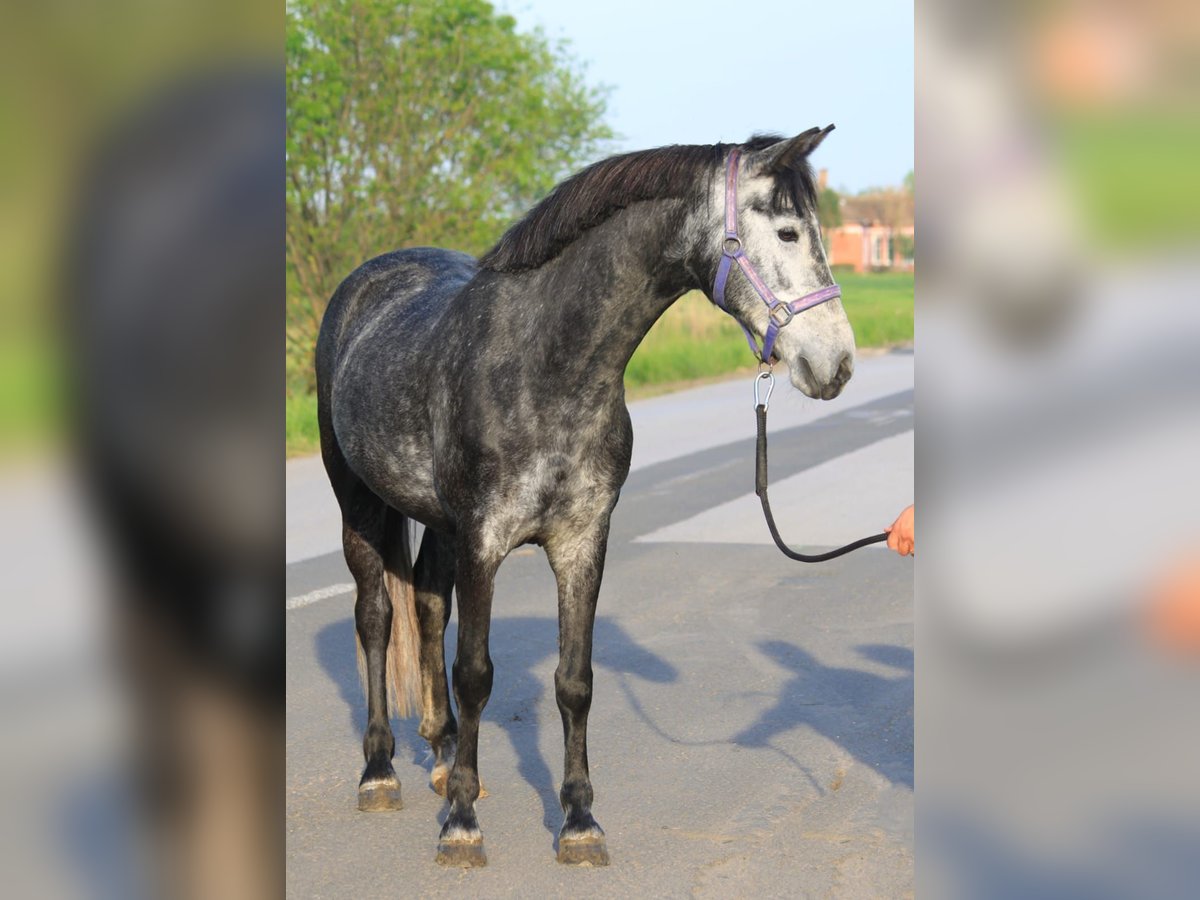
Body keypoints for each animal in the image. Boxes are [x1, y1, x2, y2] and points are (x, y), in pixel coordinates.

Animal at [314, 127, 859, 868]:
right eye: (787, 232)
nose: (838, 364)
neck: (545, 365)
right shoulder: (484, 540)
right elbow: (476, 672)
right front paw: (462, 825)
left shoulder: (581, 540)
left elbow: (575, 681)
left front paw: (578, 821)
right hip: (361, 504)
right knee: (375, 618)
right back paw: (380, 771)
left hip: (440, 523)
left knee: (426, 603)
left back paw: (444, 756)